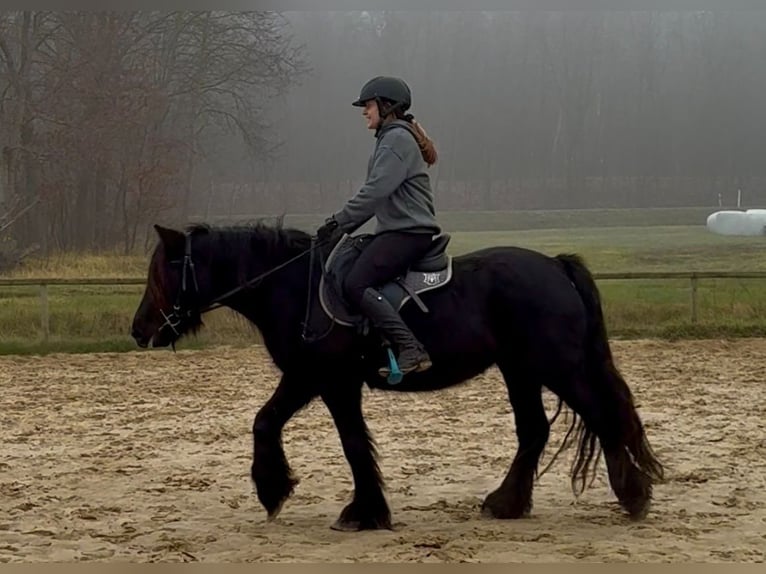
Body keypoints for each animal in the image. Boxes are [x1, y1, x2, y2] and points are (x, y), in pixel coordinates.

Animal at [130, 220, 664, 532]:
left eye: (164, 271)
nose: (139, 330)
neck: (294, 286)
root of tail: (554, 265)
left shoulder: (324, 380)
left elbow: (332, 438)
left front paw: (341, 506)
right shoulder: (318, 380)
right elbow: (294, 428)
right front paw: (295, 493)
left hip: (559, 366)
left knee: (603, 417)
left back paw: (634, 497)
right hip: (521, 369)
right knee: (534, 430)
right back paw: (507, 503)